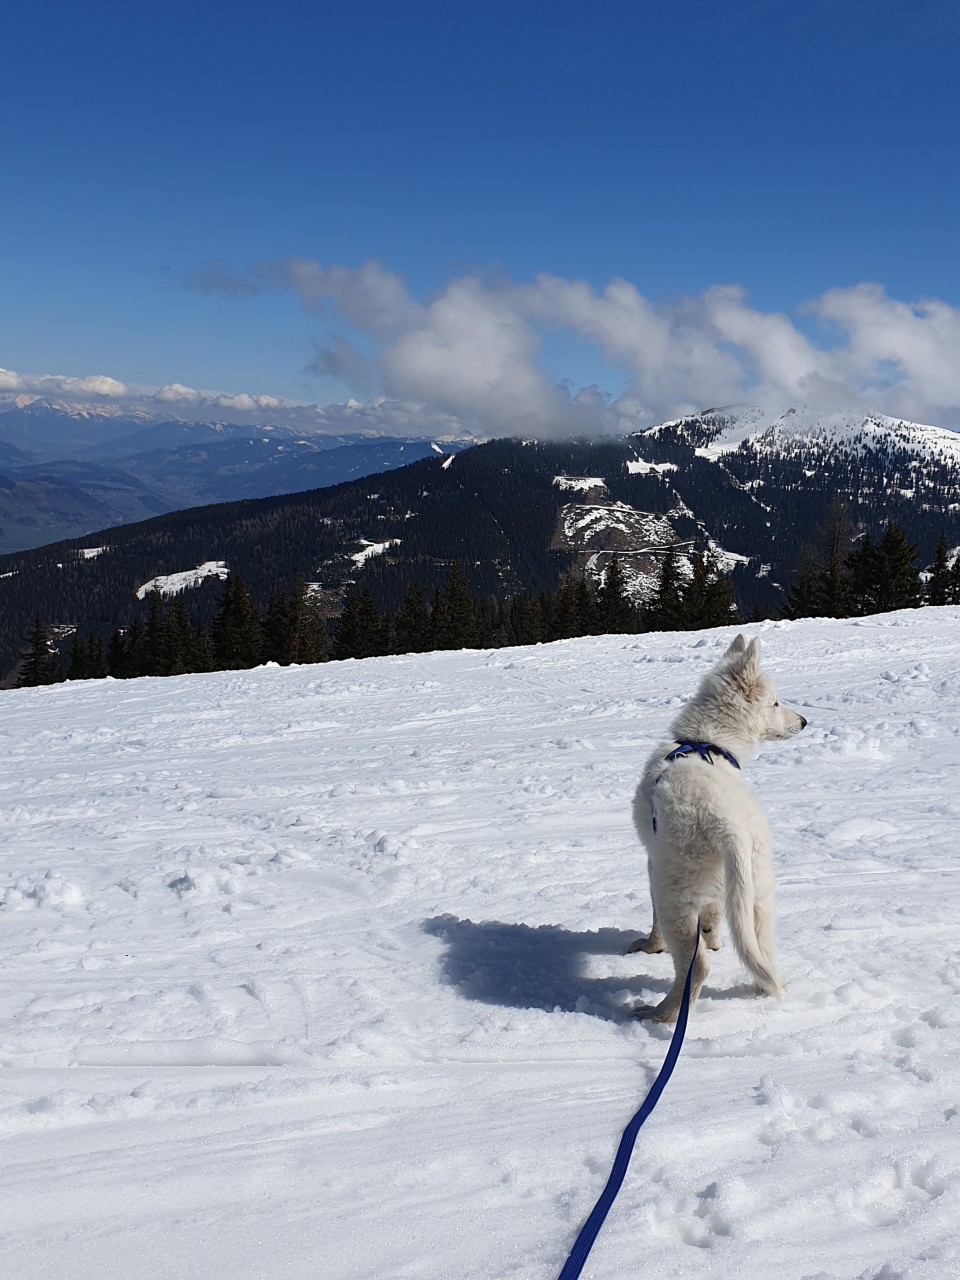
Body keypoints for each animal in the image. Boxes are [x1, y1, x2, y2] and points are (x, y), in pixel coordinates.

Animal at [628, 634, 807, 1022]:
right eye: (775, 703)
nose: (804, 721)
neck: (710, 741)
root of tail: (728, 824)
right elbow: (714, 916)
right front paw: (712, 937)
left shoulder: (652, 862)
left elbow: (653, 917)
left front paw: (651, 947)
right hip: (757, 891)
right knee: (761, 954)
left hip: (676, 894)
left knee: (697, 968)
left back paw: (659, 1014)